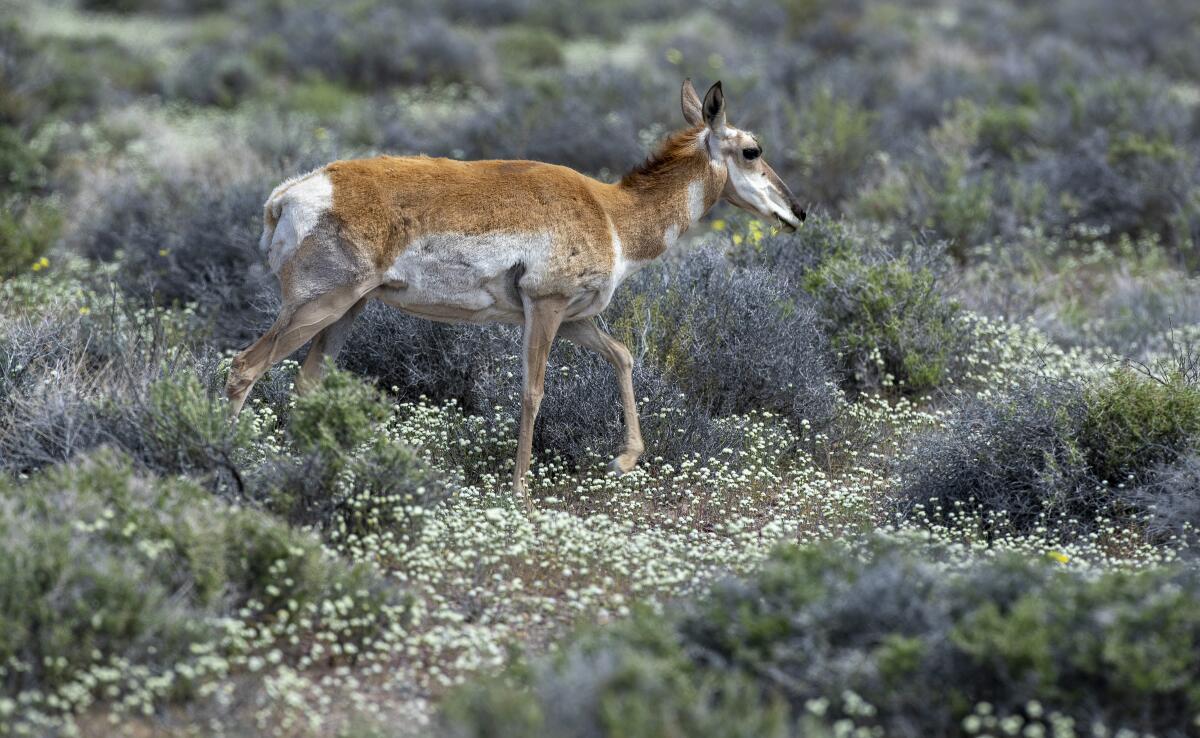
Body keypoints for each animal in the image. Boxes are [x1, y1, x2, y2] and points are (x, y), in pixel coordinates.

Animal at [226, 78, 806, 511]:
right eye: (752, 151)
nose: (799, 211)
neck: (610, 212)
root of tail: (290, 194)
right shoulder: (545, 309)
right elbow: (533, 391)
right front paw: (521, 492)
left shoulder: (575, 318)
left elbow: (622, 355)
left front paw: (623, 460)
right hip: (318, 306)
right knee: (245, 366)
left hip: (347, 311)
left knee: (306, 382)